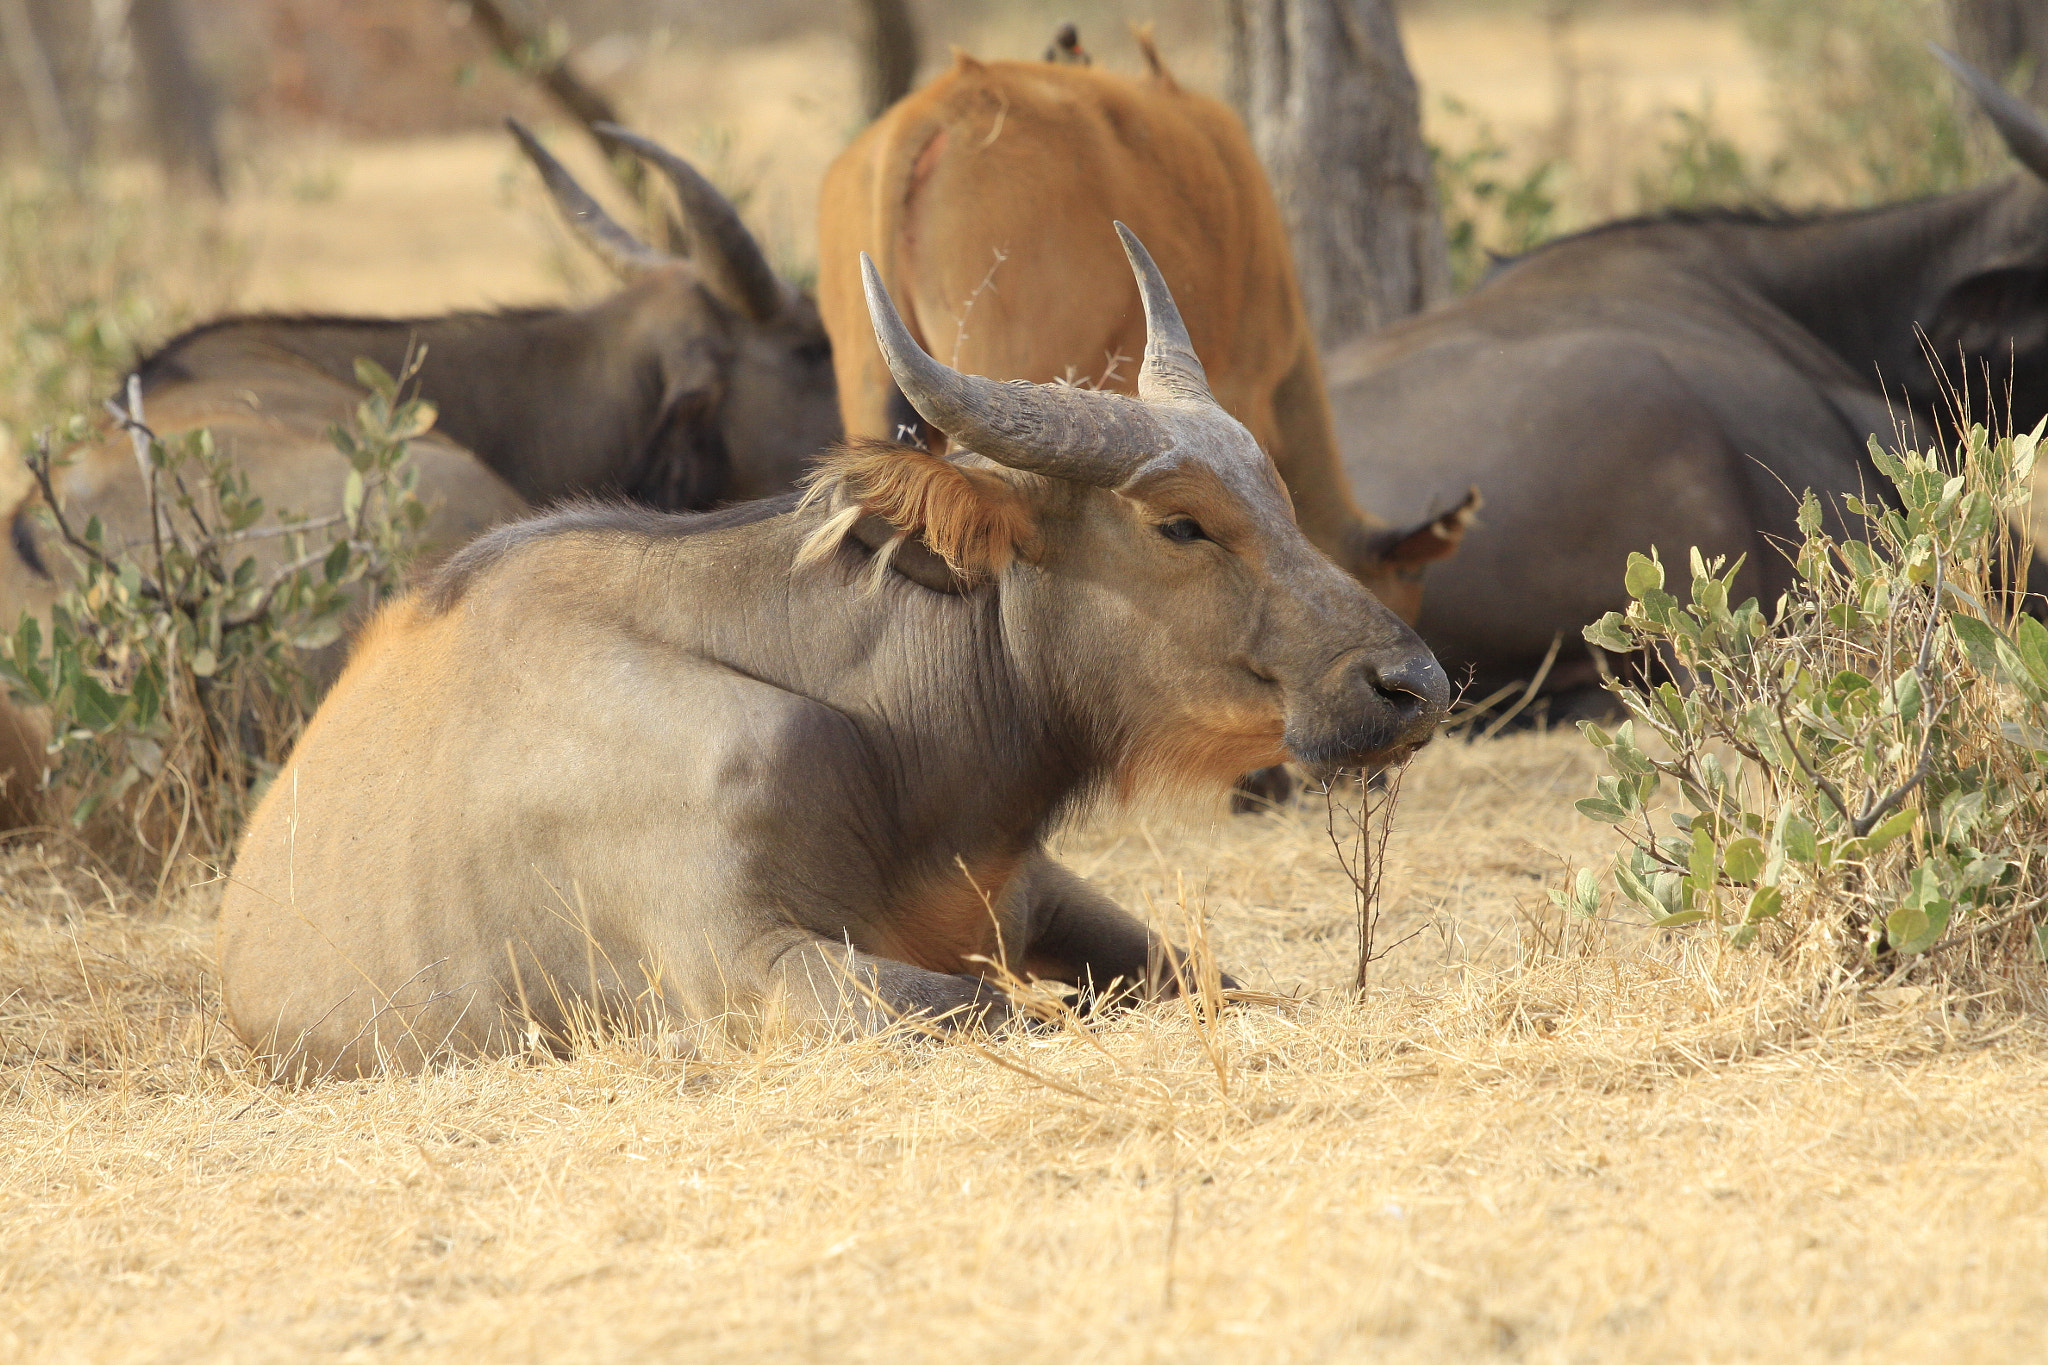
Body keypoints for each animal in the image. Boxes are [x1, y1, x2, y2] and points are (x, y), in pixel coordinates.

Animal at [216, 227, 1449, 1080]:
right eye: (1180, 523)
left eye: (1275, 495)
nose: (1412, 685)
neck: (883, 750)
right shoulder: (752, 969)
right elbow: (988, 1007)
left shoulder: (1032, 892)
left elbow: (1210, 977)